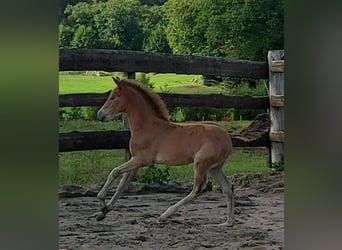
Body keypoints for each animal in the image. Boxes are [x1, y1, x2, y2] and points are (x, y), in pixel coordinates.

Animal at [96, 76, 235, 227]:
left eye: (113, 97)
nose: (100, 115)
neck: (147, 126)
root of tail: (227, 138)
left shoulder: (142, 160)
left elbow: (114, 172)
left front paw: (102, 202)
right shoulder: (136, 161)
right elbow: (122, 185)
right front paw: (104, 211)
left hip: (200, 164)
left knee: (198, 189)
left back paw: (163, 216)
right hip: (214, 167)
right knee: (228, 189)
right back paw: (228, 222)